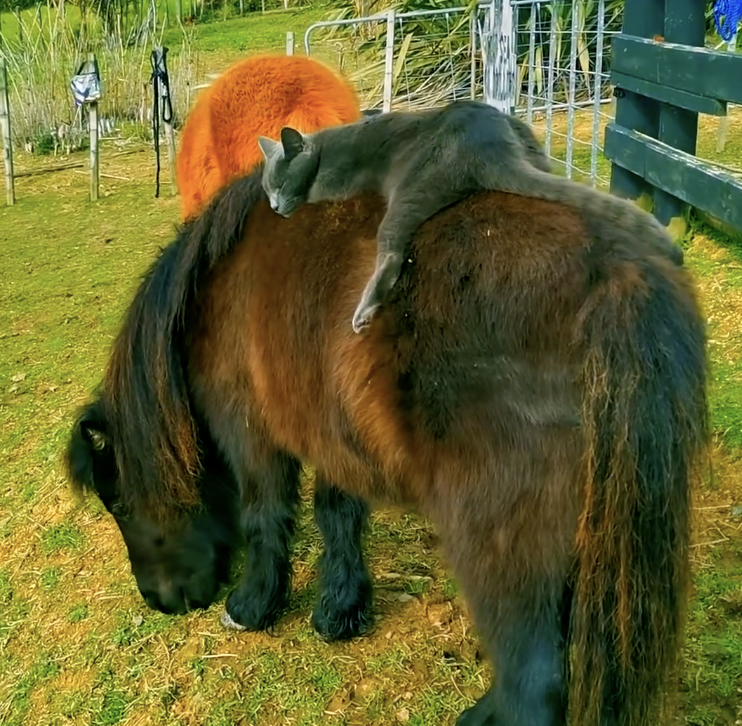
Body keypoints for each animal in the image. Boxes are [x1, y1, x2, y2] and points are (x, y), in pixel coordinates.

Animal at [65, 166, 707, 725]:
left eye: (117, 502)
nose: (160, 601)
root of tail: (617, 278)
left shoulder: (251, 434)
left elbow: (264, 514)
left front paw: (254, 607)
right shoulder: (329, 429)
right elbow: (337, 512)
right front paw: (340, 611)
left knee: (536, 680)